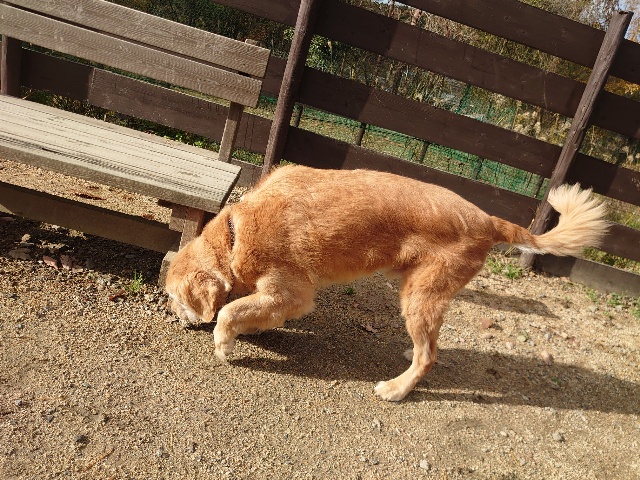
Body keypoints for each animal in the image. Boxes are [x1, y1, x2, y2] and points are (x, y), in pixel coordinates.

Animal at [165, 165, 608, 401]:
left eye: (172, 297)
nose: (174, 316)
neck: (235, 231)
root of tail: (488, 220)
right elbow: (247, 309)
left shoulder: (293, 293)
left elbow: (229, 311)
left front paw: (224, 344)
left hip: (419, 298)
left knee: (428, 357)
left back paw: (396, 388)